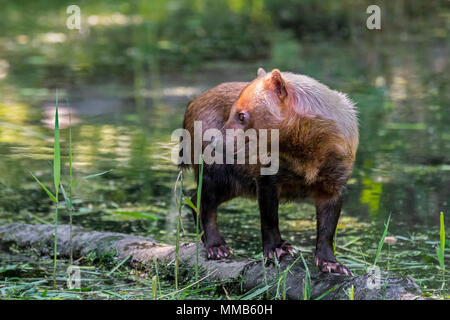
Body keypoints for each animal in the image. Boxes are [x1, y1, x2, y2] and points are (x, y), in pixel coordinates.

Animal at [181, 68, 356, 276]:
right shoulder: (267, 175)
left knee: (195, 198)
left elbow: (328, 227)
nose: (214, 141)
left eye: (241, 115)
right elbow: (269, 216)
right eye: (229, 112)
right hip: (221, 172)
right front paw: (277, 249)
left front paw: (332, 264)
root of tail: (192, 102)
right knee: (204, 201)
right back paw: (217, 247)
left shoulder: (334, 179)